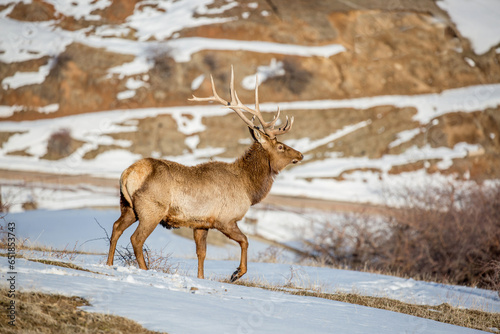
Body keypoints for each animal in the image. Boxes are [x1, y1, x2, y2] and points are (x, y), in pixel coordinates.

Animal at [106, 66, 302, 280]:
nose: (300, 154)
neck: (249, 189)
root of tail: (128, 174)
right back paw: (145, 270)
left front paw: (201, 278)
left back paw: (108, 264)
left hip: (128, 206)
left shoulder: (201, 223)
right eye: (281, 146)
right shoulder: (225, 219)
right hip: (151, 209)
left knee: (116, 228)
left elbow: (201, 253)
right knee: (136, 238)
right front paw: (236, 273)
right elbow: (245, 240)